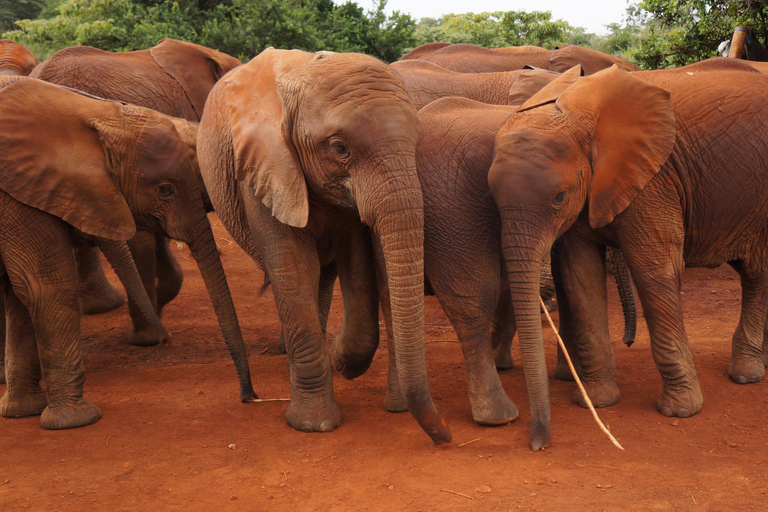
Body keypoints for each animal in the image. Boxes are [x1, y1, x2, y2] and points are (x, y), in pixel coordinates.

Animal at [0, 77, 258, 428]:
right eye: (165, 190)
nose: (249, 397)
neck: (91, 113)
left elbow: (18, 295)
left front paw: (22, 411)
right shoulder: (19, 196)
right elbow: (46, 289)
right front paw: (76, 421)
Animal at [196, 50, 450, 446]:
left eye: (416, 142)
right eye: (339, 149)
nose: (445, 438)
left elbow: (357, 264)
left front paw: (341, 359)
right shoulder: (263, 169)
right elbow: (293, 268)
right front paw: (314, 425)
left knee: (326, 278)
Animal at [486, 60, 768, 450]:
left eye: (559, 198)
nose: (538, 445)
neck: (578, 115)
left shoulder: (654, 179)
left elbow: (653, 270)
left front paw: (680, 410)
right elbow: (580, 274)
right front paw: (597, 401)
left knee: (756, 274)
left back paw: (746, 375)